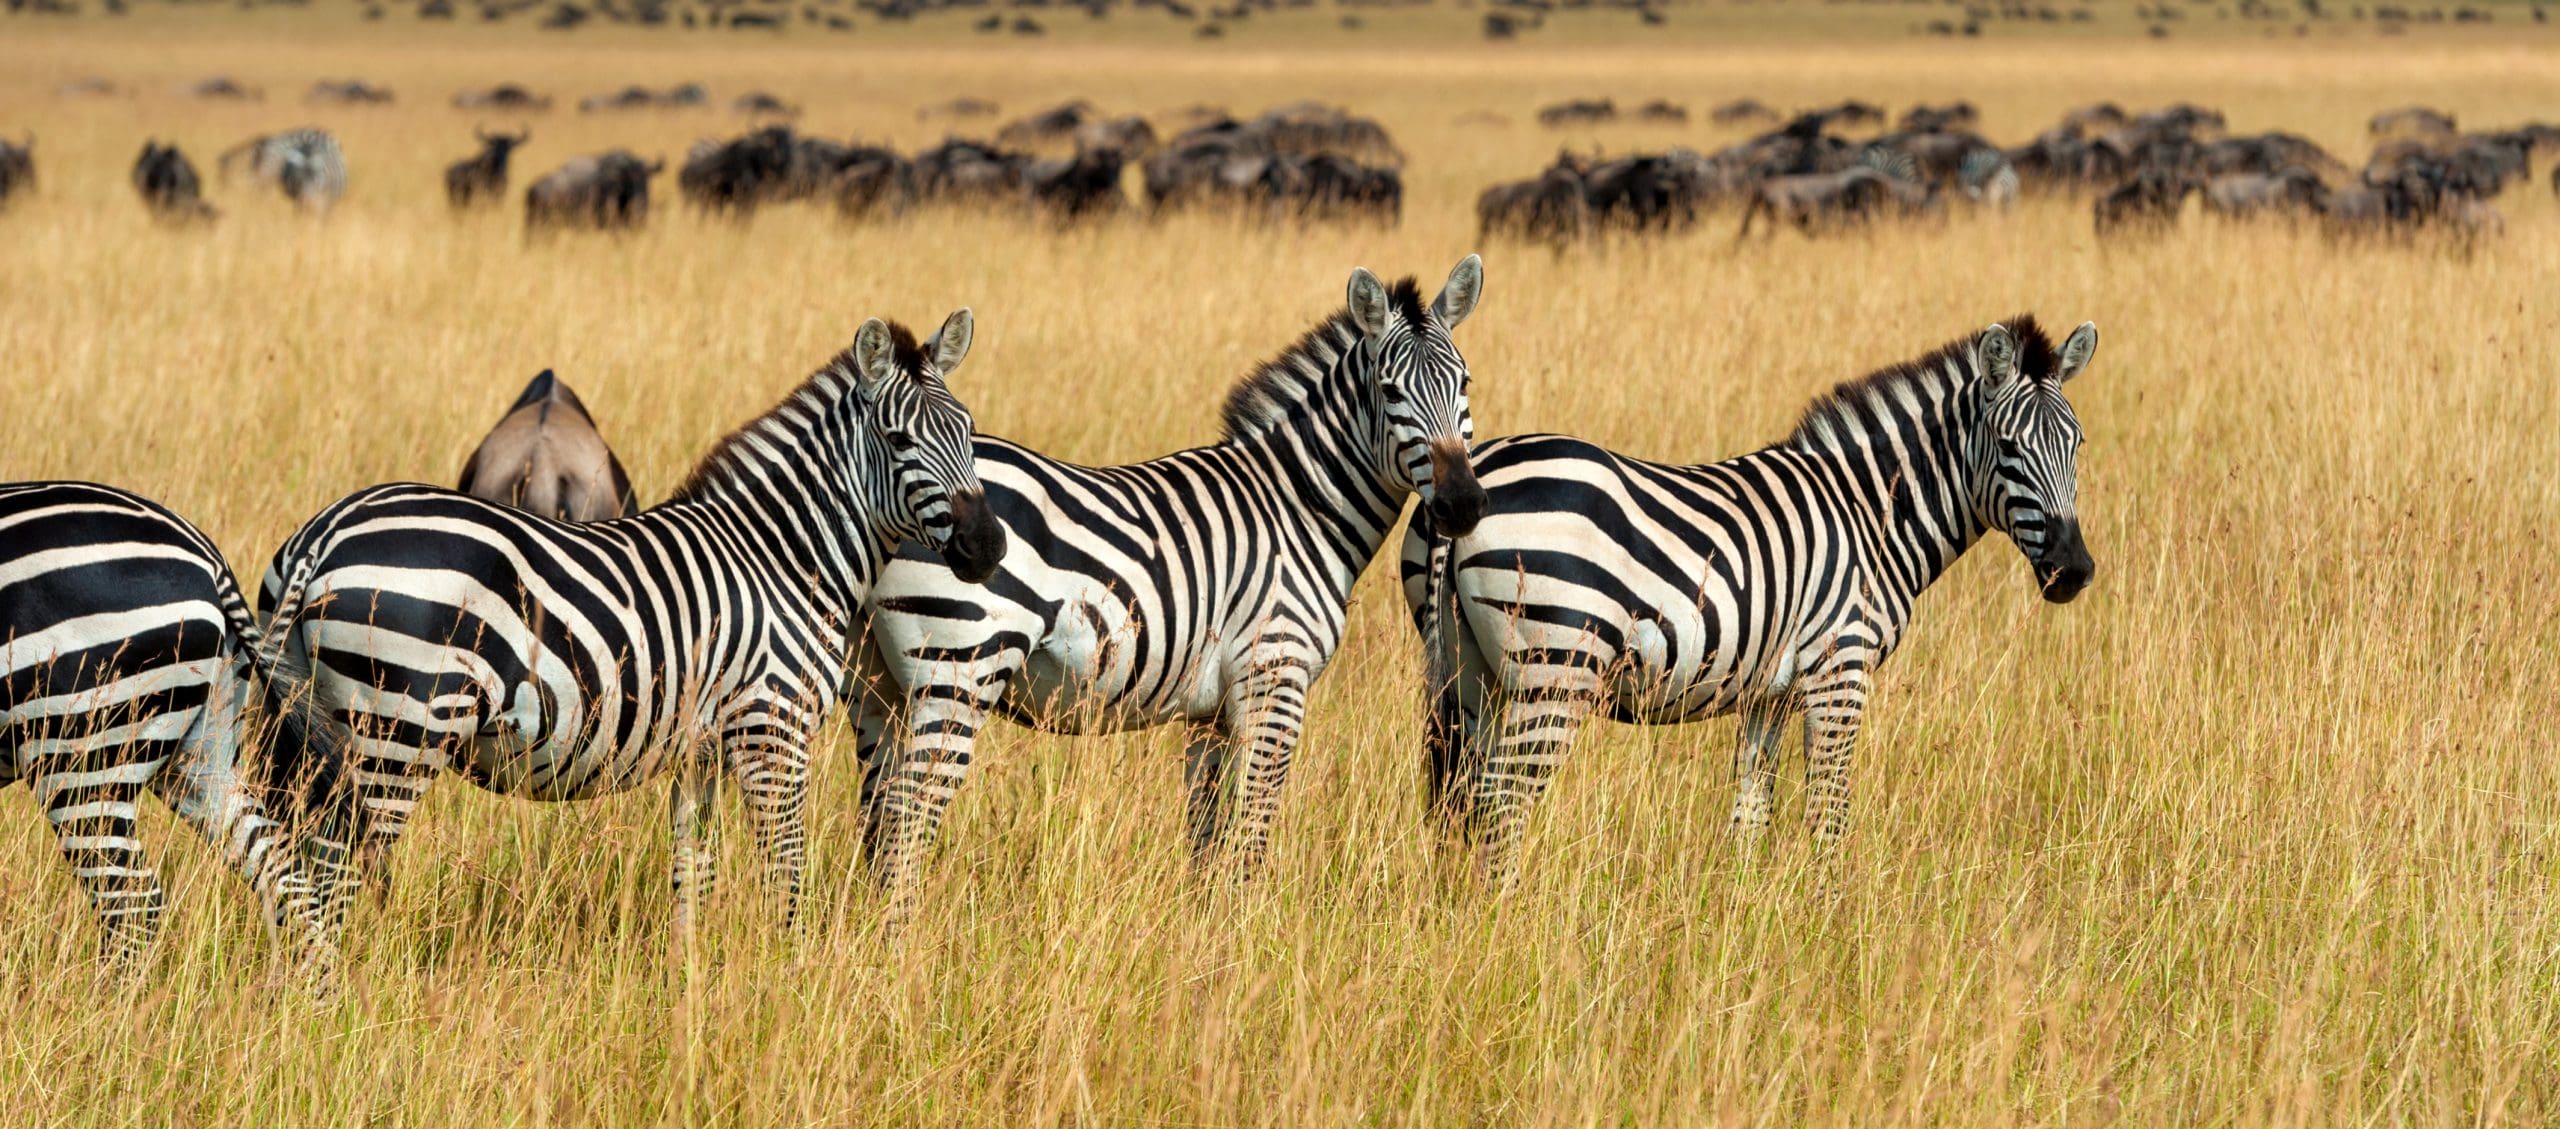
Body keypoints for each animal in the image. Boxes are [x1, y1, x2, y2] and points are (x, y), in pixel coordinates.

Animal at [1, 482, 338, 975]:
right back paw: (310, 995)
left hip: (80, 756)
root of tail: (210, 561)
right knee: (284, 877)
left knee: (132, 908)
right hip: (200, 758)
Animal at [255, 313, 1007, 953]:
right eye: (900, 440)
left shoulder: (703, 748)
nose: (988, 546)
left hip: (307, 728)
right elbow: (788, 870)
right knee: (331, 873)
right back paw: (338, 997)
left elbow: (693, 871)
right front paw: (793, 975)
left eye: (969, 430)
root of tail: (320, 537)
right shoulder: (773, 730)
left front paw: (688, 983)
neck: (782, 555)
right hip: (395, 727)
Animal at [857, 256, 1488, 914]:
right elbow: (1253, 833)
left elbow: (1207, 839)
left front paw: (1209, 926)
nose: (1464, 505)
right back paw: (903, 933)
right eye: (1390, 393)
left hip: (880, 683)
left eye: (1465, 383)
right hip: (958, 668)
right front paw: (1252, 925)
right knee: (904, 824)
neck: (1298, 507)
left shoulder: (1210, 715)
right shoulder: (1275, 679)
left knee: (877, 820)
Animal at [1401, 316, 2100, 884]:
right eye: (2008, 448)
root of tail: (1468, 483)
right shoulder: (1841, 672)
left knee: (1467, 799)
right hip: (1554, 667)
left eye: (2078, 444)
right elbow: (1829, 813)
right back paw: (1506, 919)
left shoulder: (1771, 693)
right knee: (1502, 803)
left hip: (1472, 675)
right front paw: (1828, 921)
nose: (2074, 570)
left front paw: (1745, 914)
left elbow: (1750, 815)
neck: (1870, 513)